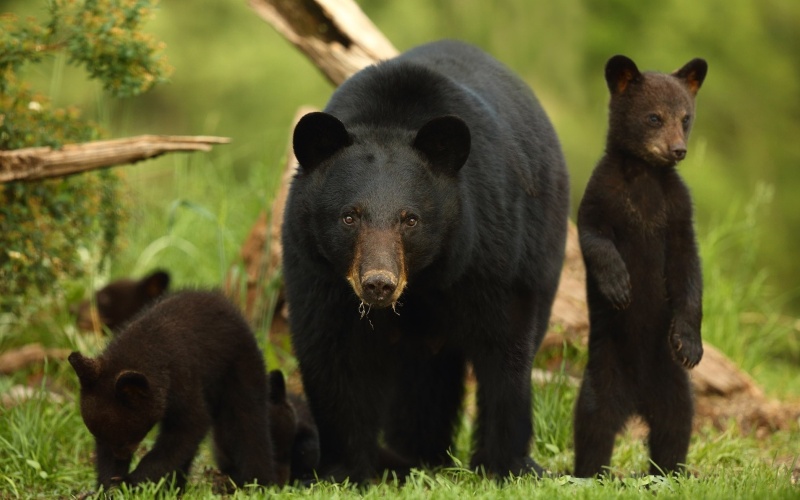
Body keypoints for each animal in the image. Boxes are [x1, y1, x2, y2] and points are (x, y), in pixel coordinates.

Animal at [69, 292, 282, 490]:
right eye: (99, 437)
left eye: (125, 440)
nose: (121, 457)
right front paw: (110, 485)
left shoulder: (182, 379)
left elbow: (189, 427)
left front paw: (133, 481)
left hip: (240, 368)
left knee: (248, 420)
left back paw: (259, 482)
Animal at [282, 40, 568, 480]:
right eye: (349, 216)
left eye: (410, 219)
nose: (378, 283)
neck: (422, 281)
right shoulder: (316, 268)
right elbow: (332, 352)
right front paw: (343, 469)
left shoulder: (489, 249)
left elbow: (505, 344)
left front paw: (505, 465)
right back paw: (415, 454)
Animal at [576, 54, 708, 476]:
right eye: (654, 117)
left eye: (685, 117)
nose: (677, 150)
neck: (645, 176)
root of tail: (637, 402)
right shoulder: (601, 195)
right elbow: (594, 238)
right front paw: (620, 287)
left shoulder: (678, 211)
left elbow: (688, 269)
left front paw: (689, 344)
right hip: (602, 373)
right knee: (593, 425)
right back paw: (590, 474)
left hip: (674, 385)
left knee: (675, 426)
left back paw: (668, 473)